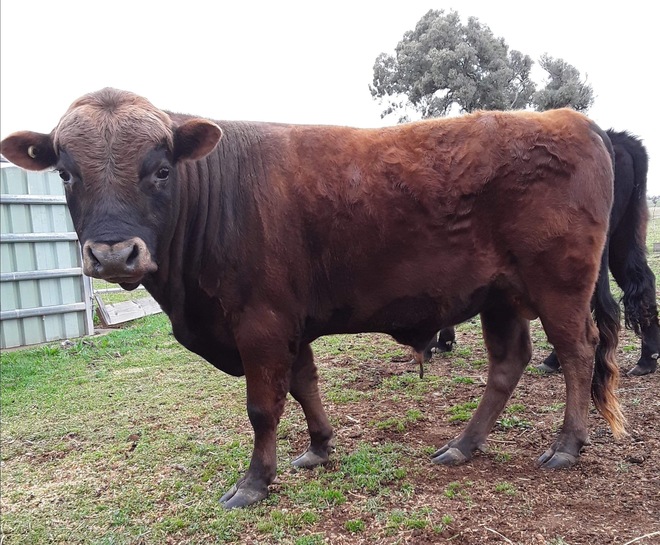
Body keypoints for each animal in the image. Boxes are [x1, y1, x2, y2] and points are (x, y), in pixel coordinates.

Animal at [1, 88, 625, 509]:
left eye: (158, 170)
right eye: (66, 173)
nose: (112, 255)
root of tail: (573, 119)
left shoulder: (260, 322)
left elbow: (263, 406)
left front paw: (254, 482)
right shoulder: (288, 323)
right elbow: (304, 384)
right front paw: (319, 448)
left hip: (559, 285)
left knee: (577, 353)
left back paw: (567, 445)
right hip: (500, 296)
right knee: (508, 364)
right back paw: (462, 445)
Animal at [426, 131, 659, 377]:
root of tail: (620, 139)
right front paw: (443, 342)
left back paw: (554, 360)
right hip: (621, 240)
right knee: (643, 281)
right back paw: (647, 359)